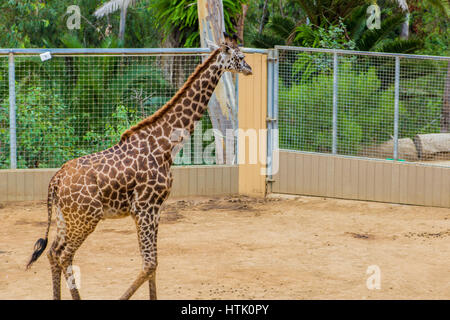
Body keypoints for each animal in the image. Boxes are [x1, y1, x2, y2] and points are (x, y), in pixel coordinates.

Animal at [26, 33, 251, 298]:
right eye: (240, 57)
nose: (249, 69)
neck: (166, 145)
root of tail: (55, 181)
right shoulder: (145, 207)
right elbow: (149, 263)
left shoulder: (155, 208)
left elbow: (154, 263)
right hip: (86, 218)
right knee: (64, 254)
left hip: (65, 217)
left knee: (53, 252)